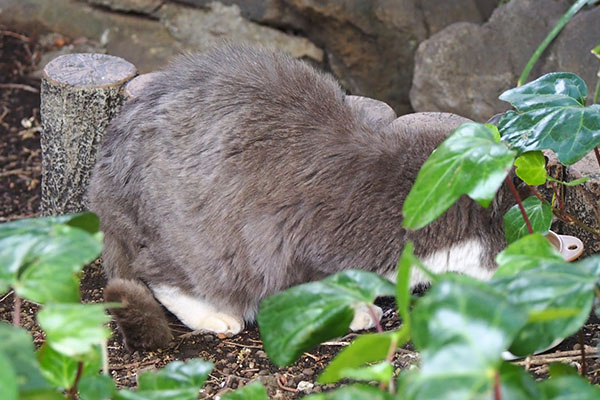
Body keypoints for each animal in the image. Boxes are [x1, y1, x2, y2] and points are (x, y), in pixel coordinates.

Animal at [89, 44, 516, 350]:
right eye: (505, 234)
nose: (513, 266)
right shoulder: (295, 246)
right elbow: (314, 289)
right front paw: (349, 312)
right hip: (194, 243)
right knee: (159, 274)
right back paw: (215, 316)